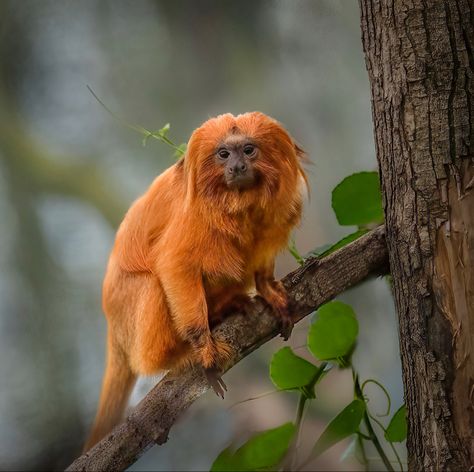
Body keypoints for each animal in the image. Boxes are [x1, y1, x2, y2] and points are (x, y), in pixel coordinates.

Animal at [83, 110, 308, 450]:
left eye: (248, 150)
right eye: (223, 154)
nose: (237, 167)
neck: (236, 203)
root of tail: (114, 327)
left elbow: (261, 259)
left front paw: (269, 291)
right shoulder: (193, 220)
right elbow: (174, 265)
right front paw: (203, 349)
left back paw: (227, 308)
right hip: (129, 312)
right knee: (151, 288)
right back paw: (177, 354)